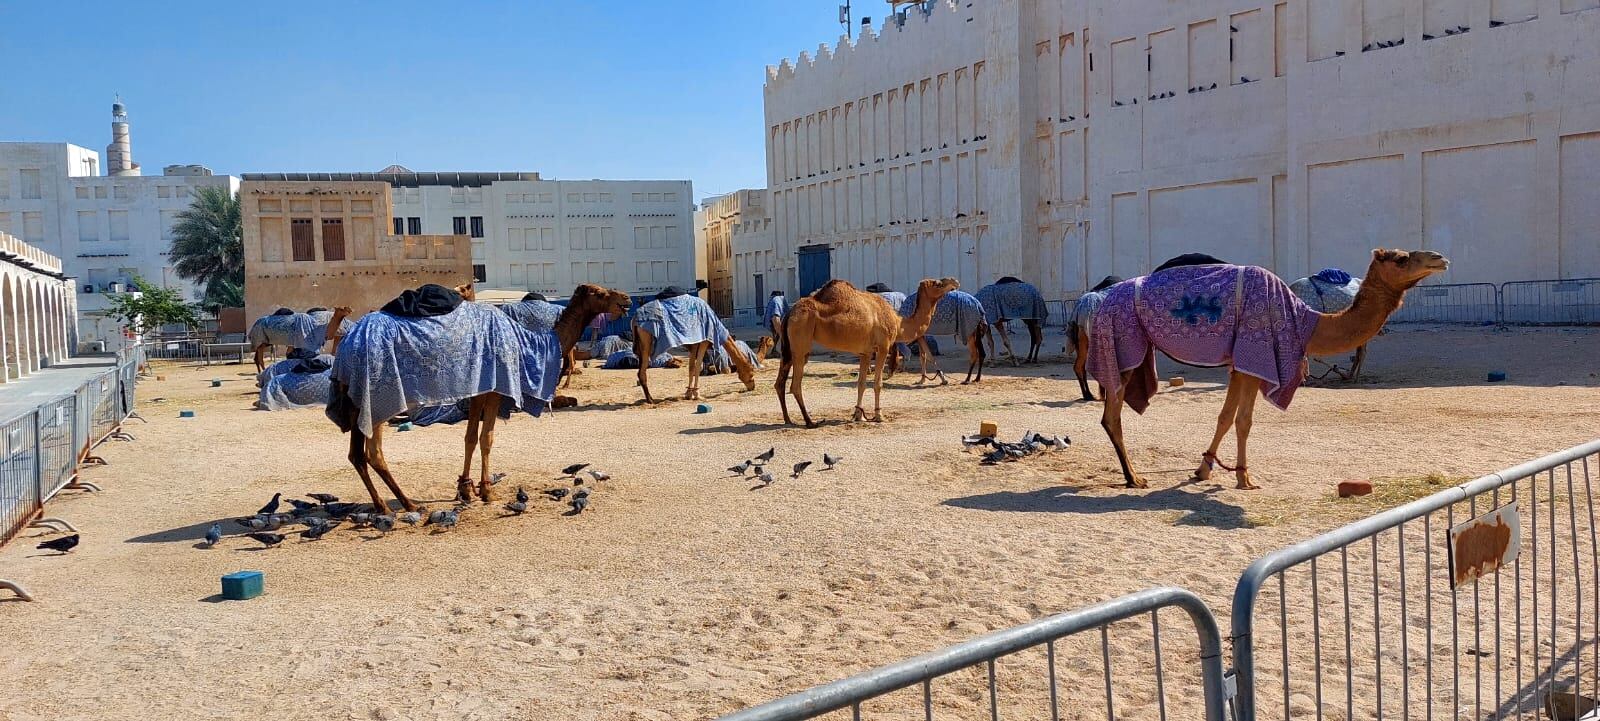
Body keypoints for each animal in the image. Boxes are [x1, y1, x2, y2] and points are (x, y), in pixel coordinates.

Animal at [326, 279, 563, 511]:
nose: (457, 290)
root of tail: (345, 347)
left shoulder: (479, 388)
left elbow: (471, 436)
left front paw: (467, 489)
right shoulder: (495, 386)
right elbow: (486, 438)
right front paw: (486, 492)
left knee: (362, 454)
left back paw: (394, 504)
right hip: (373, 398)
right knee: (368, 453)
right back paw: (400, 506)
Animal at [777, 278, 953, 425]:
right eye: (938, 283)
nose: (954, 282)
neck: (898, 323)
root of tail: (790, 312)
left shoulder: (865, 353)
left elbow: (861, 384)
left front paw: (858, 415)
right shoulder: (883, 347)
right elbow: (877, 383)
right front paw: (879, 416)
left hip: (789, 348)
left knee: (780, 382)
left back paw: (788, 419)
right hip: (801, 341)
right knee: (795, 385)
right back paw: (809, 422)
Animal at [1088, 247, 1452, 492]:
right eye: (1401, 258)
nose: (1439, 258)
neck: (1306, 321)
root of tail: (1103, 298)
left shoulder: (1240, 363)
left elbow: (1225, 417)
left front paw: (1203, 470)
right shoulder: (1257, 356)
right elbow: (1244, 421)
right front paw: (1244, 478)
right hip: (1123, 344)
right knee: (1111, 416)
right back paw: (1134, 478)